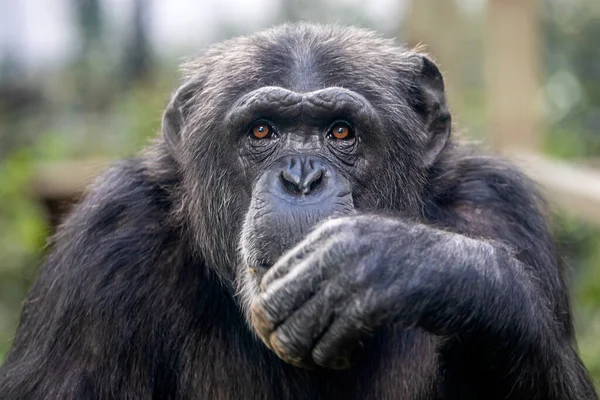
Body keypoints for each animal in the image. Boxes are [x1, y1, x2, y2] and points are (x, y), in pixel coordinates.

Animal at [0, 24, 596, 400]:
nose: (302, 177)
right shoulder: (104, 249)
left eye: (341, 132)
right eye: (263, 130)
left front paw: (396, 264)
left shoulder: (501, 210)